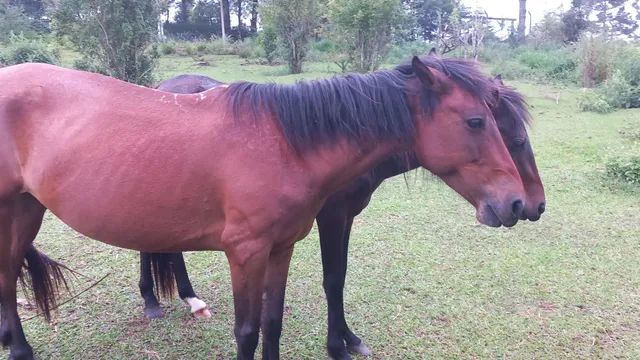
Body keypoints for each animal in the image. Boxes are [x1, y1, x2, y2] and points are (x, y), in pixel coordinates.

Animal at [0, 54, 524, 358]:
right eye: (477, 121)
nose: (517, 203)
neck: (283, 143)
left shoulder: (281, 248)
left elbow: (272, 325)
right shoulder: (246, 252)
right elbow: (249, 330)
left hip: (26, 209)